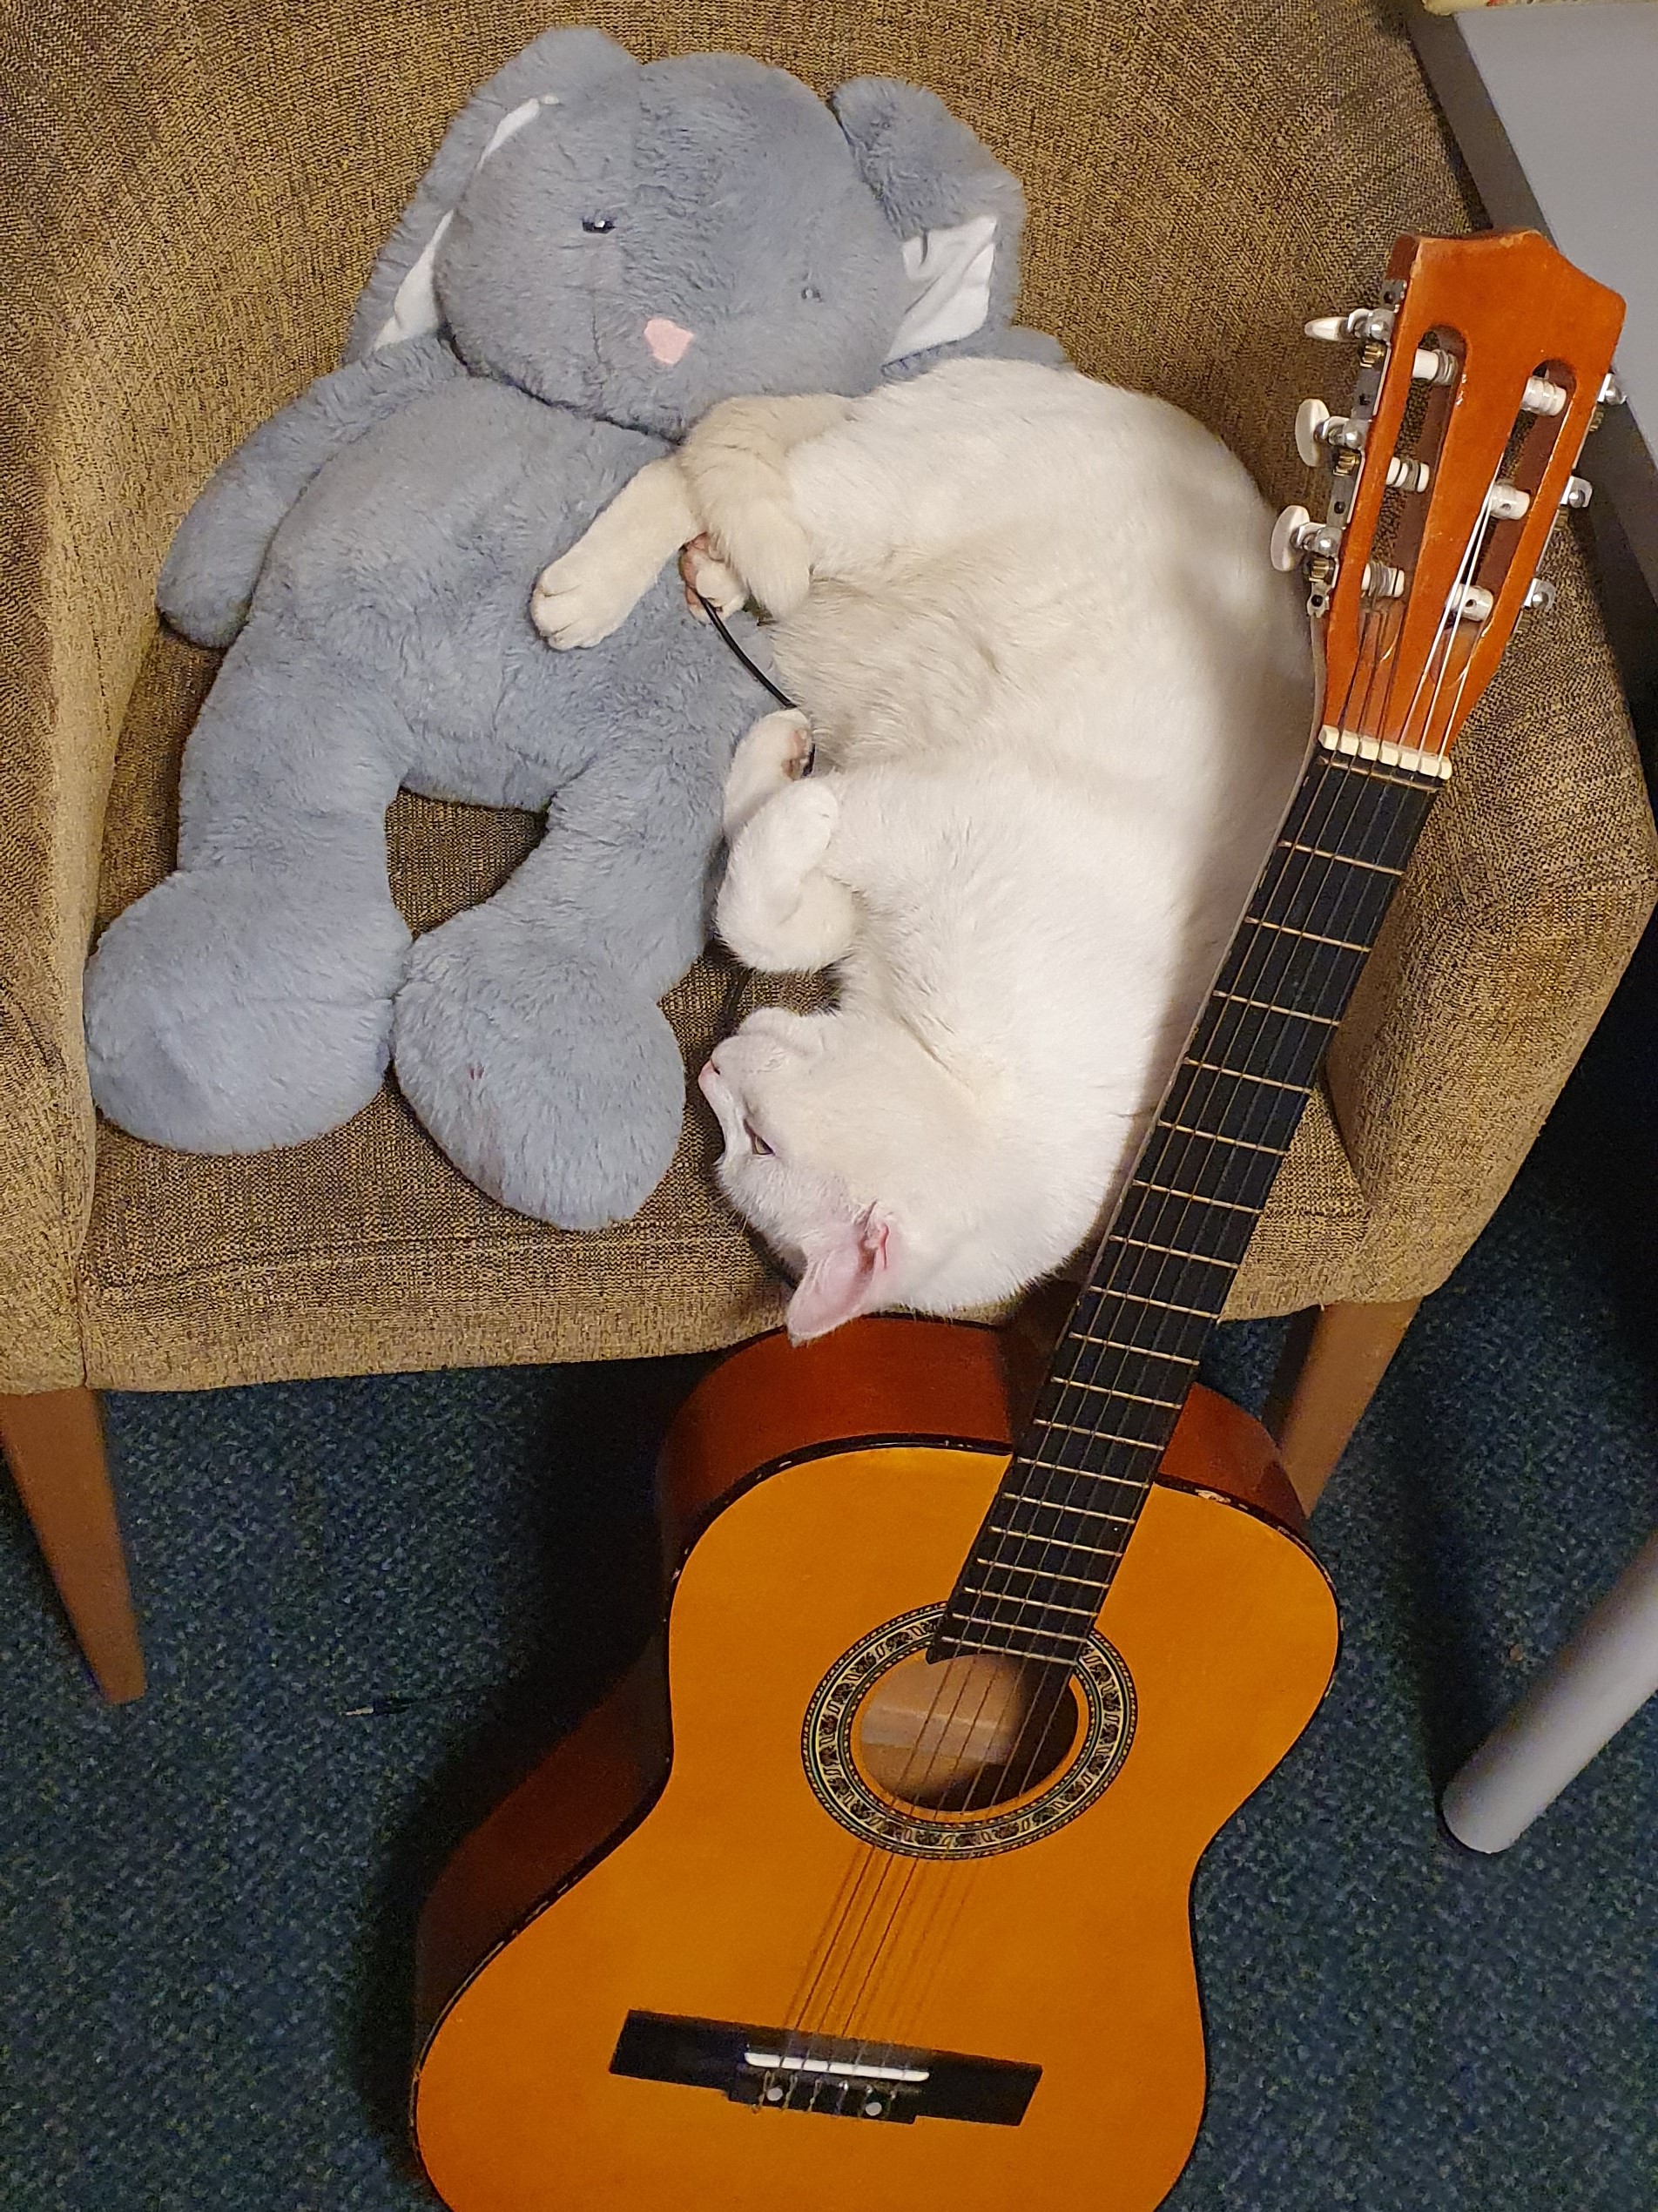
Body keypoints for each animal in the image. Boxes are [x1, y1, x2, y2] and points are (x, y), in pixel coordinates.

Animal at [539, 354, 1318, 1336]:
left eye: (749, 1143)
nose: (711, 1062)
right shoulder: (923, 802)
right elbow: (762, 890)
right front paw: (795, 799)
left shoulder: (887, 848)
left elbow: (767, 909)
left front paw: (782, 781)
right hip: (871, 506)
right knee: (691, 464)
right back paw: (585, 591)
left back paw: (717, 578)